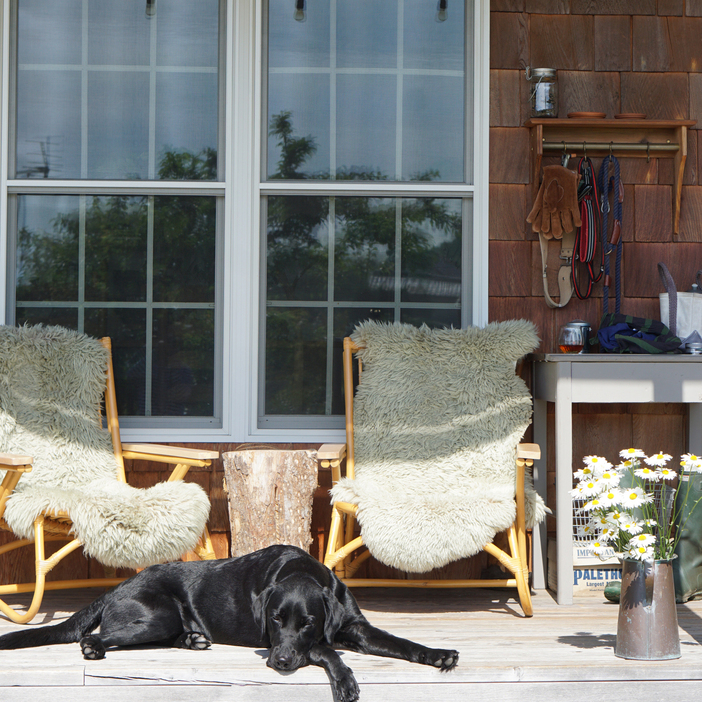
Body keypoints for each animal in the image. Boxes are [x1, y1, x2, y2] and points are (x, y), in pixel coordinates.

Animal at [0, 544, 460, 702]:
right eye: (275, 619)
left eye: (308, 620)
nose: (279, 663)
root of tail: (116, 587)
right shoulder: (284, 641)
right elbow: (326, 649)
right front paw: (345, 680)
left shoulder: (356, 627)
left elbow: (401, 642)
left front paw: (439, 655)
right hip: (154, 614)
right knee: (104, 634)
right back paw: (94, 646)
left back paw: (193, 640)